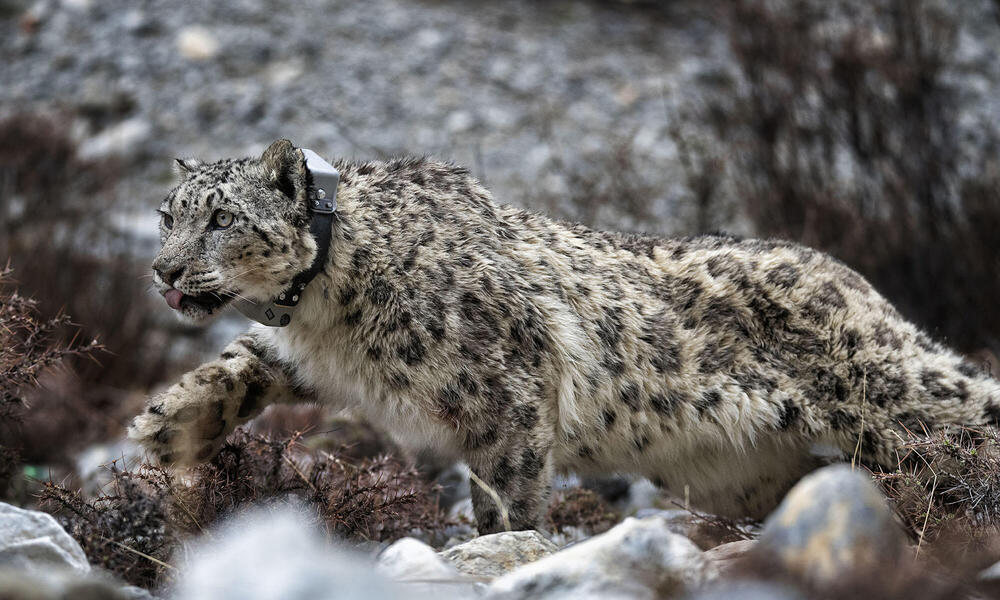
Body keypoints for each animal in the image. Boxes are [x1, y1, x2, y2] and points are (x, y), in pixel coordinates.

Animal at [129, 142, 996, 536]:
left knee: (968, 419)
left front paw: (501, 546)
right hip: (746, 477)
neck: (323, 319)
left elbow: (505, 487)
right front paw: (170, 426)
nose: (162, 269)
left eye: (222, 218)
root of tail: (856, 282)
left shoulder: (504, 390)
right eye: (168, 214)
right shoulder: (301, 355)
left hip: (899, 405)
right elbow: (243, 361)